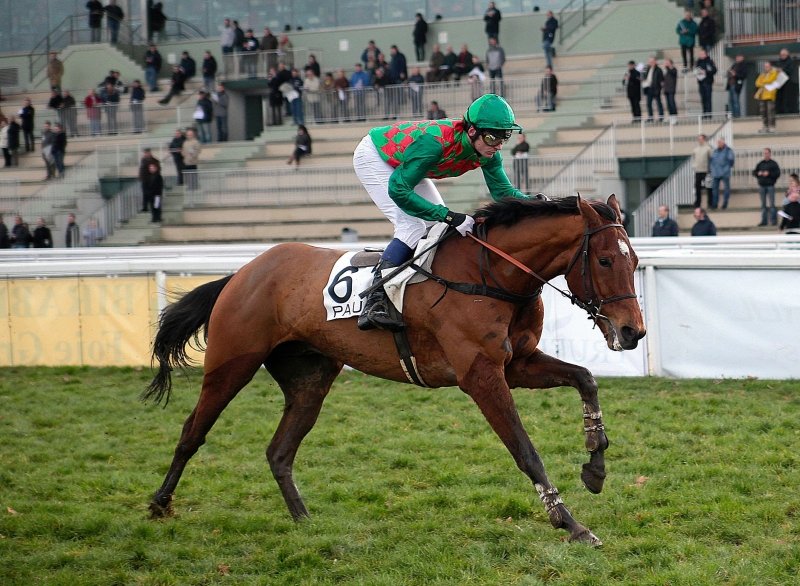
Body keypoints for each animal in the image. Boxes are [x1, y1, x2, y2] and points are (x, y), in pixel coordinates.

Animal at [144, 194, 646, 546]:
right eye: (605, 260)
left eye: (636, 261)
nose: (633, 331)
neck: (491, 277)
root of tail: (242, 272)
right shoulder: (480, 375)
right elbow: (526, 451)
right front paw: (570, 523)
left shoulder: (517, 363)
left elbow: (585, 378)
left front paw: (595, 466)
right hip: (231, 364)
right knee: (192, 431)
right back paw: (159, 504)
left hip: (310, 379)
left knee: (279, 451)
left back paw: (304, 520)